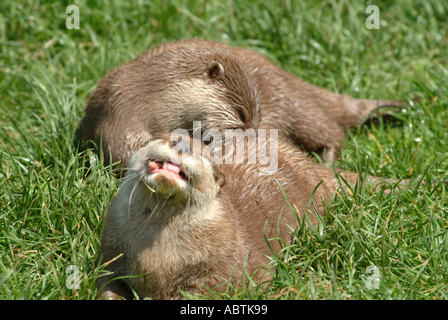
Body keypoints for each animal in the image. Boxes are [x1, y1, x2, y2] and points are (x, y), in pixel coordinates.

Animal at [79, 39, 400, 168]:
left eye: (257, 115)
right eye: (241, 113)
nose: (254, 138)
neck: (146, 94)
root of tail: (289, 77)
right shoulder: (117, 114)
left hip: (292, 104)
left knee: (331, 131)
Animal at [97, 132, 388, 300]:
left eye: (202, 154)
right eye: (168, 138)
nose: (181, 146)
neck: (159, 257)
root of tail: (308, 163)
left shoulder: (221, 267)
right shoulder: (111, 252)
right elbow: (107, 284)